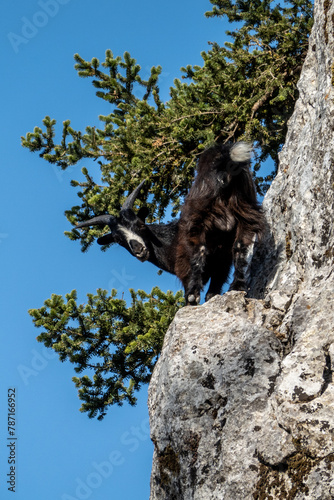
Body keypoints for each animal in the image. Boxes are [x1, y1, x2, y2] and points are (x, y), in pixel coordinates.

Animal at [75, 141, 264, 304]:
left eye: (140, 225)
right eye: (119, 240)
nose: (139, 249)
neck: (168, 242)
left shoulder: (186, 267)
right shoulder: (222, 261)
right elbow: (213, 290)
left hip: (199, 216)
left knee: (200, 248)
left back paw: (192, 297)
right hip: (245, 207)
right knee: (241, 244)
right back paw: (238, 286)